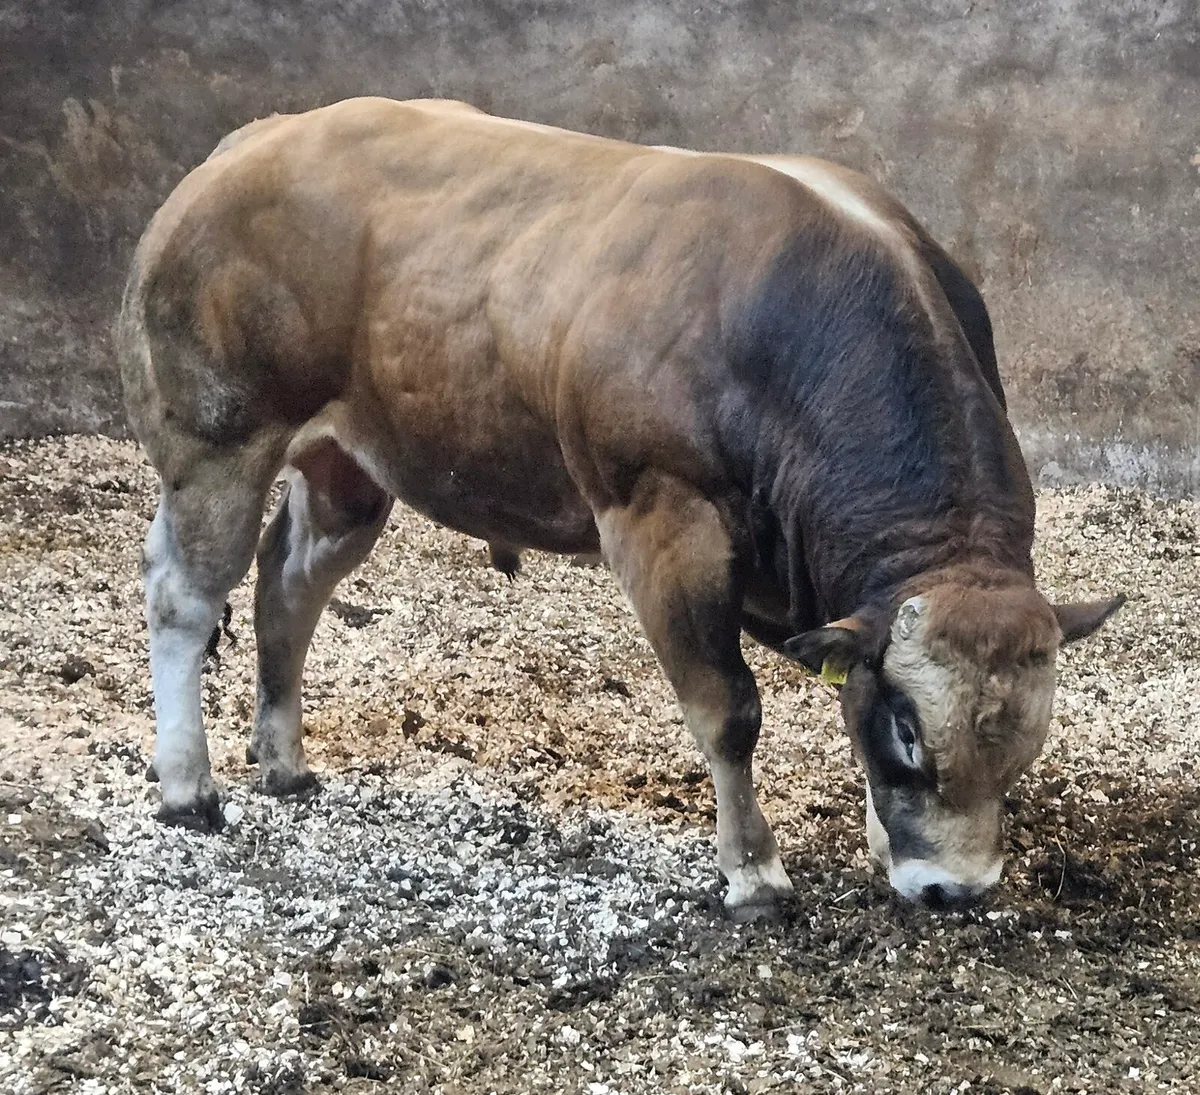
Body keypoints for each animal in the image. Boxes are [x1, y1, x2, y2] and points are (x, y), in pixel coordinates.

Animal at [118, 97, 1122, 917]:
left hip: (349, 467)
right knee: (182, 596)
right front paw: (753, 871)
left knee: (288, 586)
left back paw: (282, 760)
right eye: (912, 734)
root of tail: (249, 144)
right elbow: (728, 709)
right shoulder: (661, 519)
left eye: (1024, 751)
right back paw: (188, 785)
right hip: (217, 441)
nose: (957, 888)